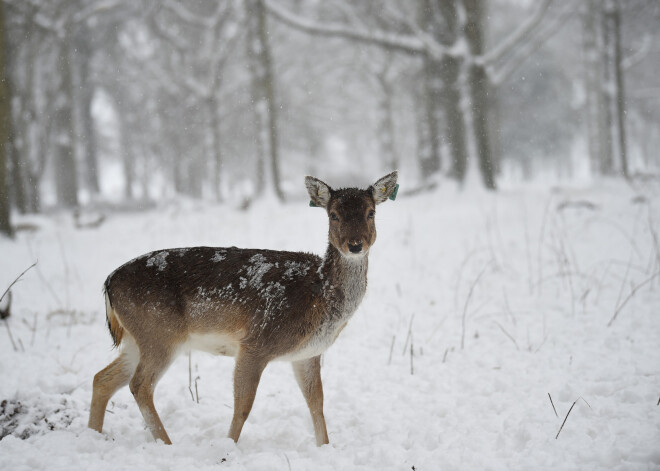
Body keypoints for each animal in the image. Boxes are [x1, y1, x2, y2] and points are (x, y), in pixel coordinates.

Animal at [87, 171, 398, 448]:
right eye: (333, 215)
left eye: (370, 212)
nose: (355, 245)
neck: (318, 296)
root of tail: (109, 282)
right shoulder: (256, 342)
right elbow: (244, 406)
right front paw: (227, 449)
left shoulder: (307, 353)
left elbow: (317, 404)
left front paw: (325, 448)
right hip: (160, 334)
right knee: (139, 385)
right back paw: (167, 444)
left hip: (136, 339)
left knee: (102, 378)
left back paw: (94, 435)